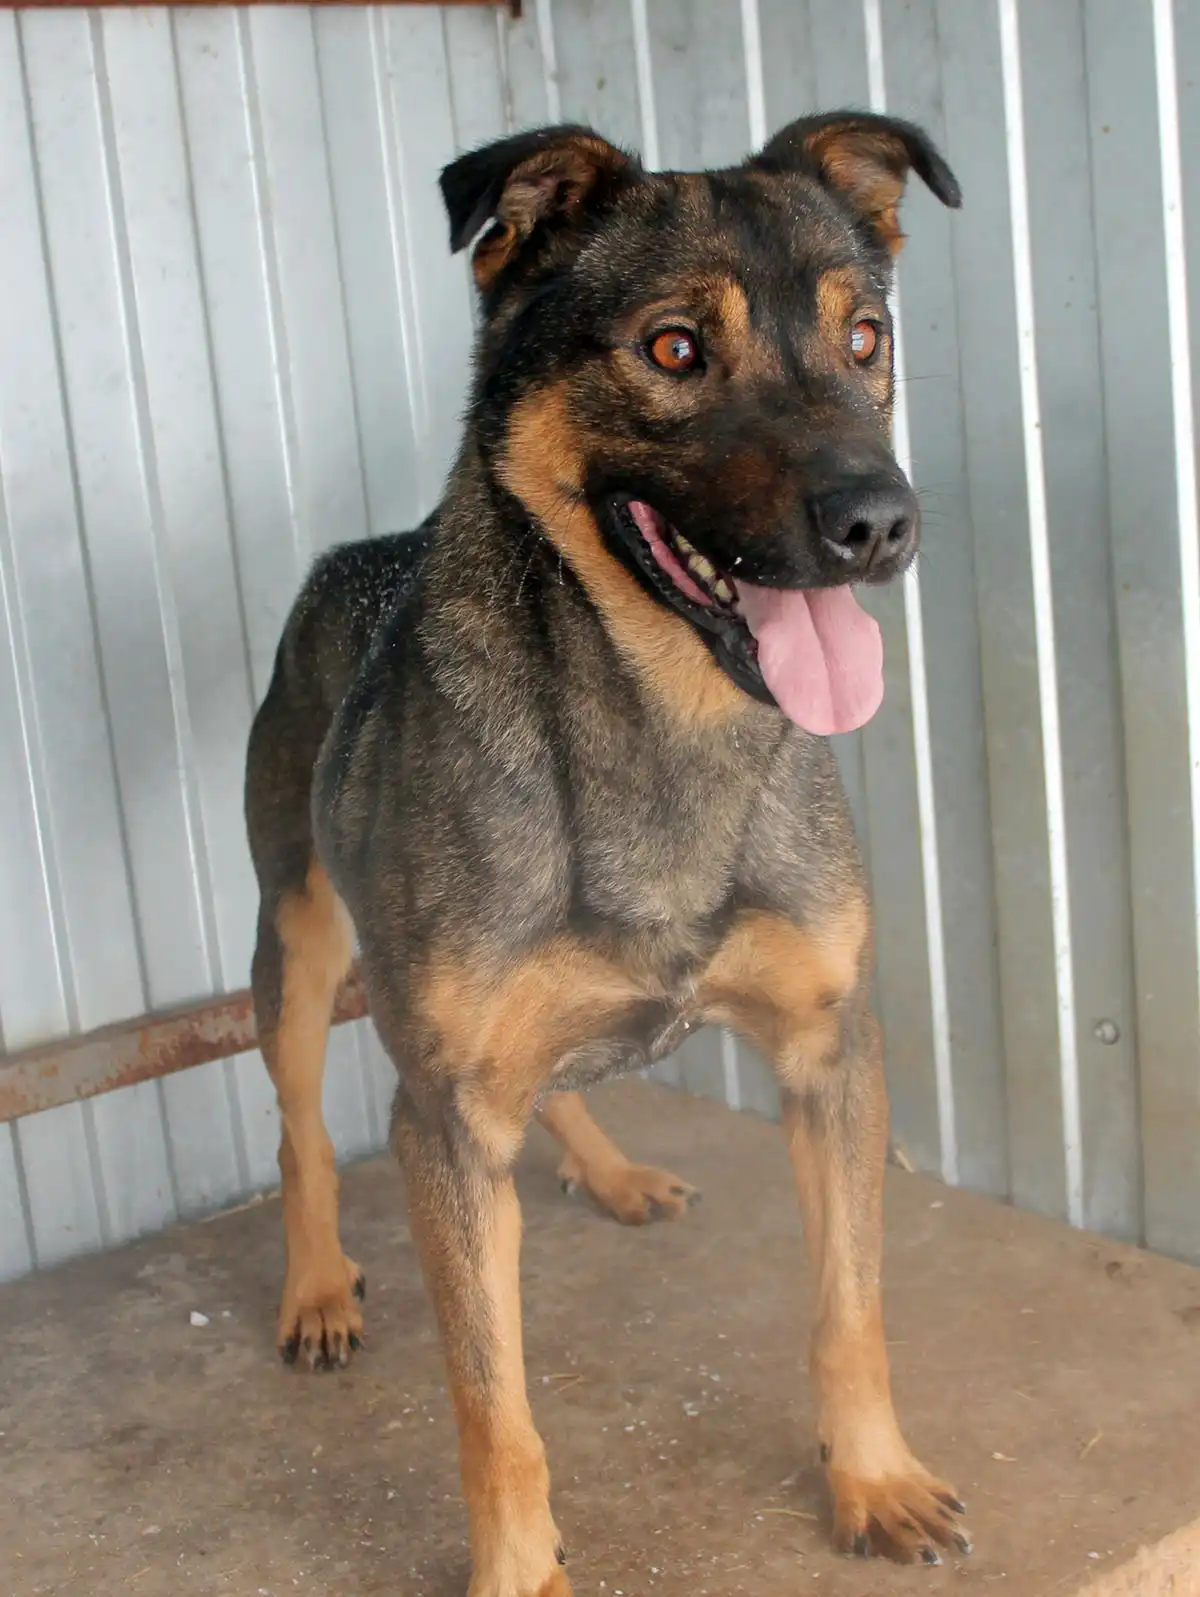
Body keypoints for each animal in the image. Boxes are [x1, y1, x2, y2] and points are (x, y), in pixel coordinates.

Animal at [244, 110, 967, 1591]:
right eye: (676, 348)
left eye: (865, 335)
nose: (882, 525)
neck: (664, 725)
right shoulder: (443, 1116)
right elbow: (492, 1404)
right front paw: (520, 1571)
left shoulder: (831, 1049)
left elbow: (849, 1309)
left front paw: (871, 1478)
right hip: (292, 948)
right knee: (295, 1127)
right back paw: (317, 1287)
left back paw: (609, 1165)